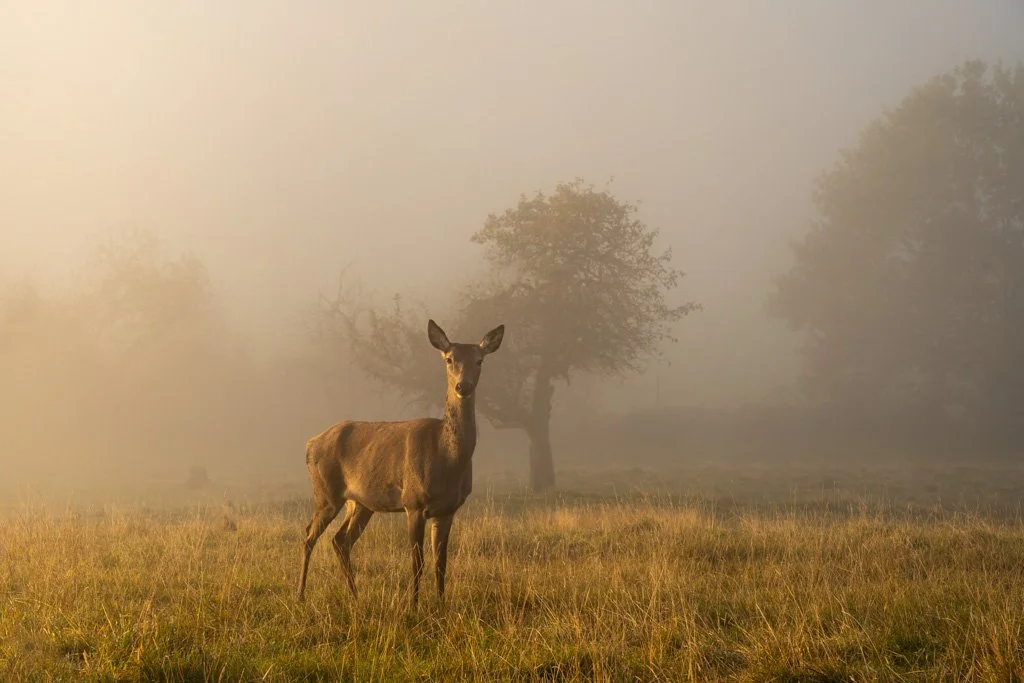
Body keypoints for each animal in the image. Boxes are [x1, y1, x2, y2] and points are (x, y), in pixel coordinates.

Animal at [297, 319, 504, 608]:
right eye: (449, 359)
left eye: (479, 360)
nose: (463, 387)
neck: (448, 461)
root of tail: (310, 443)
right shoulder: (413, 502)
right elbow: (417, 561)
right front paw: (413, 606)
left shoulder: (448, 510)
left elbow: (441, 563)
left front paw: (441, 605)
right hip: (326, 493)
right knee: (308, 536)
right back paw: (300, 595)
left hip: (360, 502)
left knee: (340, 540)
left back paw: (355, 596)